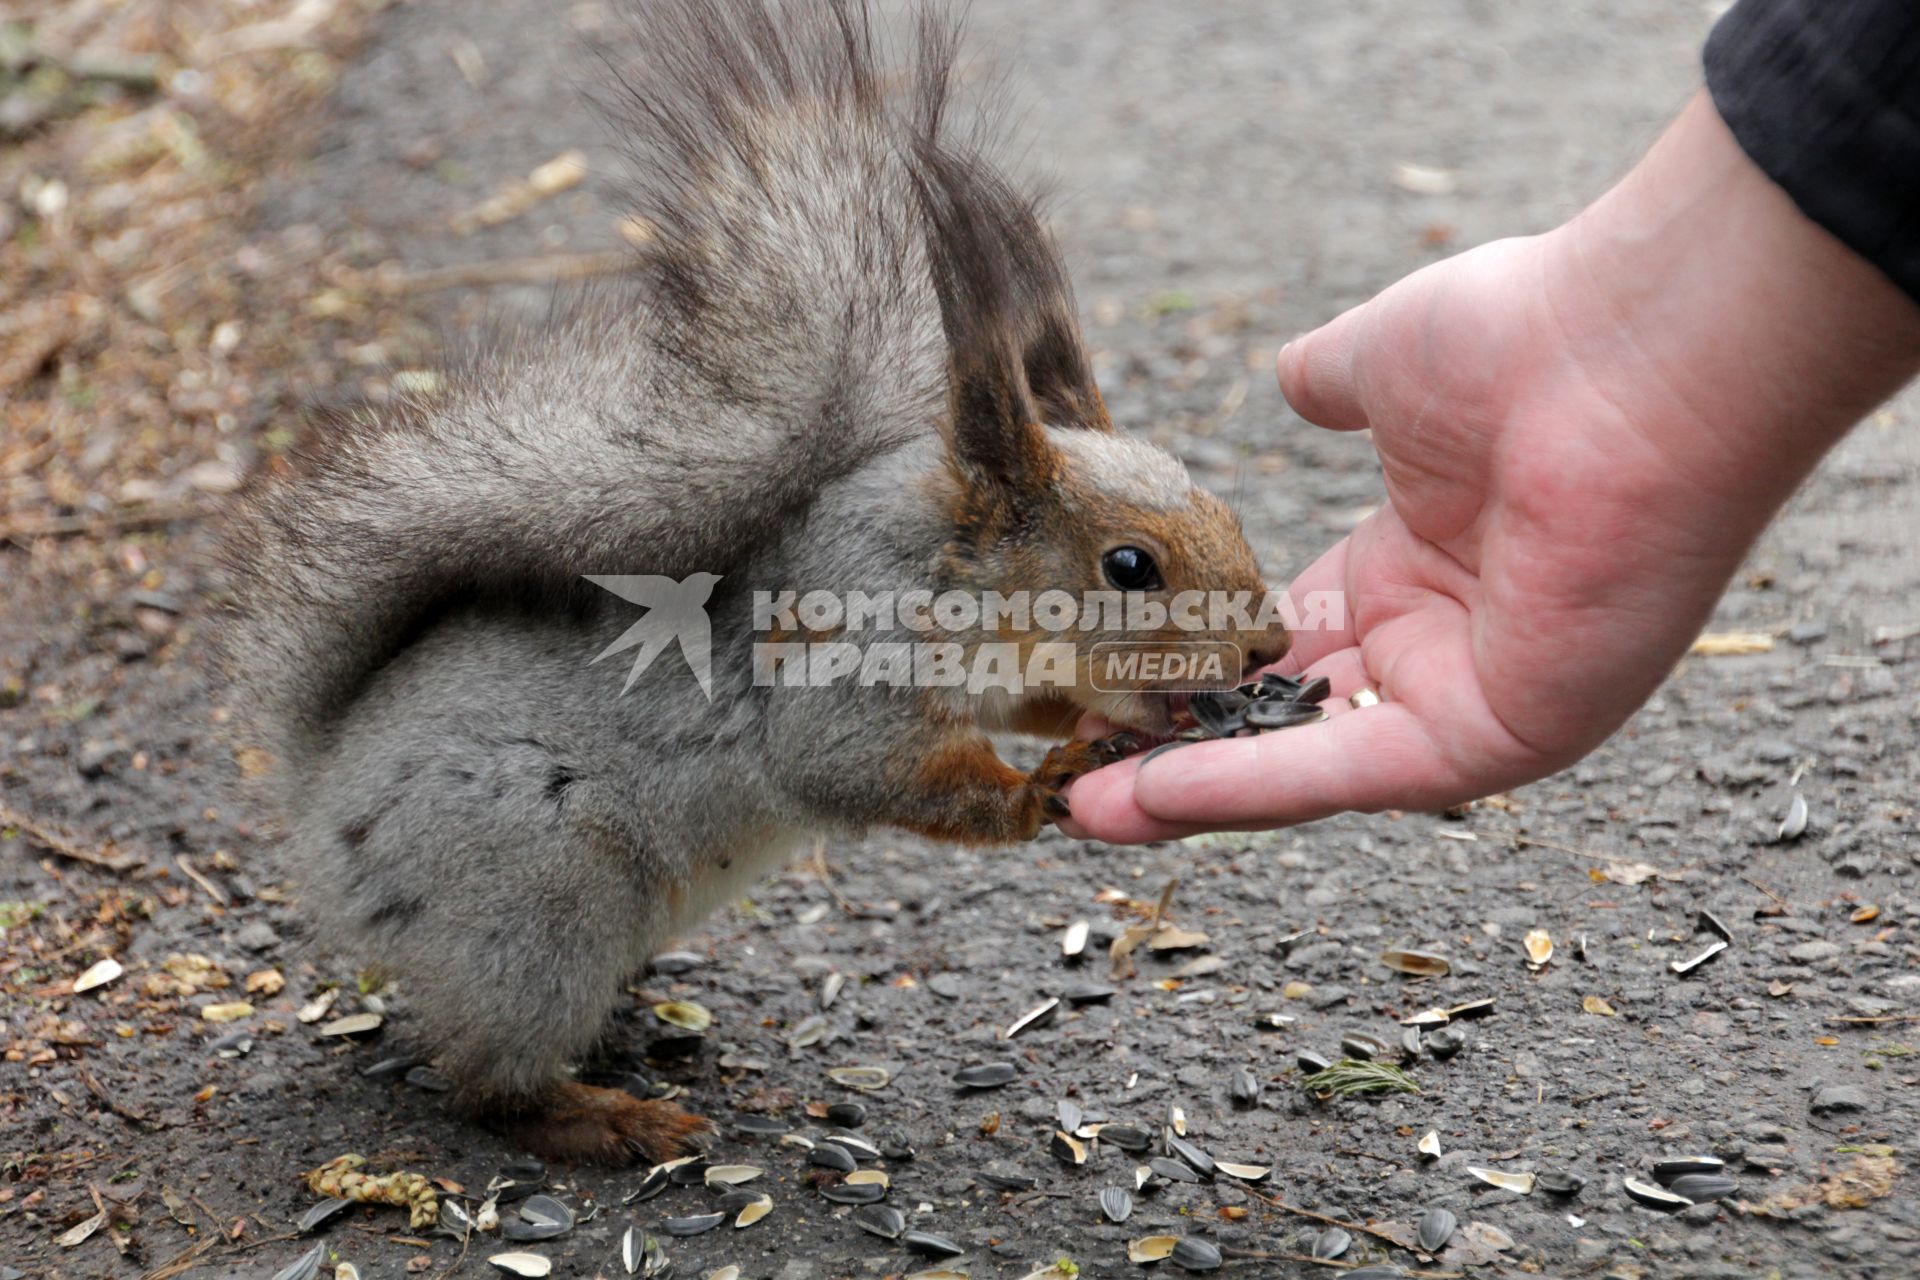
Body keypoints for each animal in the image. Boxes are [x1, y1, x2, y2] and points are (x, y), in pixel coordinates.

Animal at [224, 0, 1290, 1166]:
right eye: (1130, 566)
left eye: (1220, 504)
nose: (1271, 647)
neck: (943, 574)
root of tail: (322, 807)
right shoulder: (844, 671)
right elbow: (855, 764)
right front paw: (1041, 784)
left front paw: (1127, 714)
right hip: (537, 896)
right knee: (486, 1084)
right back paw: (609, 1117)